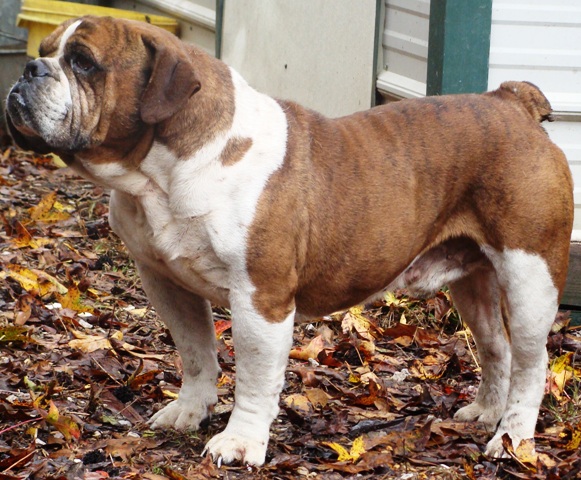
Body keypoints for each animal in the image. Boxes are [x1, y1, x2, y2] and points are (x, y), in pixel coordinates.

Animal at [4, 15, 572, 464]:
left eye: (83, 63)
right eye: (45, 51)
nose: (29, 69)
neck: (162, 174)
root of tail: (511, 102)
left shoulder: (262, 298)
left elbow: (255, 378)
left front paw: (239, 443)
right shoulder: (166, 282)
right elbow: (195, 352)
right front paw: (190, 410)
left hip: (530, 275)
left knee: (531, 361)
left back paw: (512, 441)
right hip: (474, 281)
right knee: (496, 347)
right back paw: (485, 413)